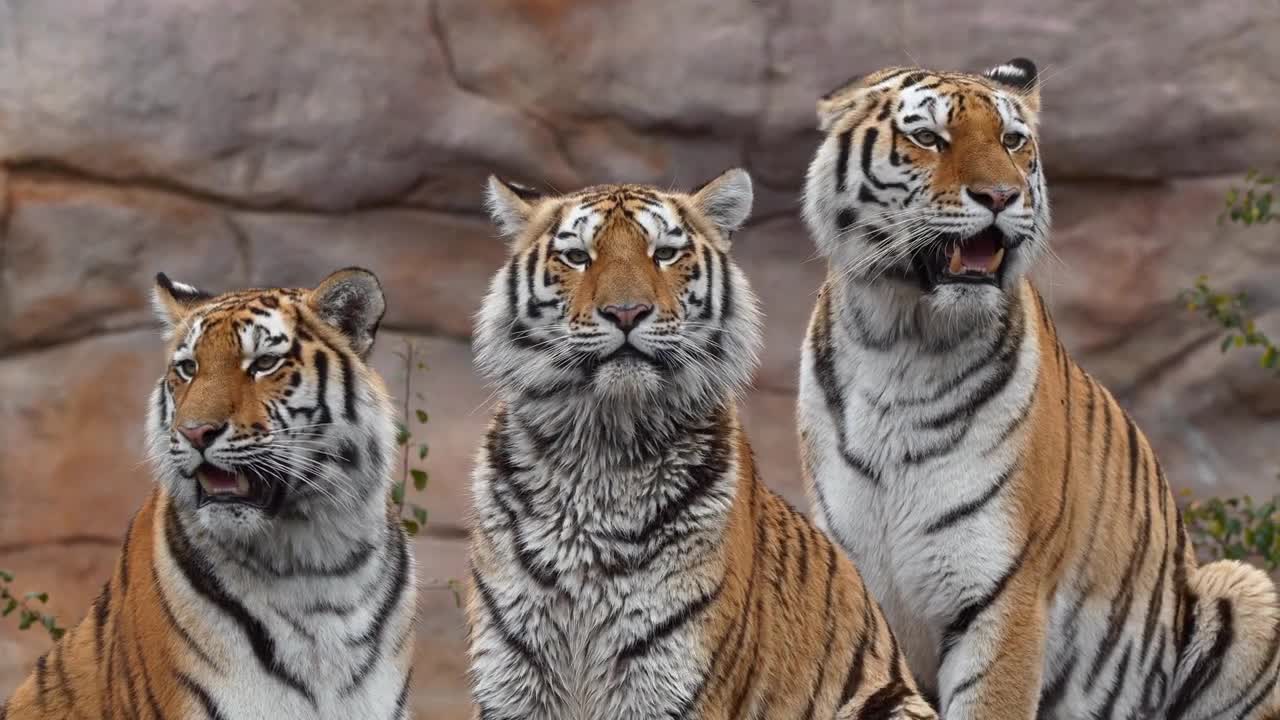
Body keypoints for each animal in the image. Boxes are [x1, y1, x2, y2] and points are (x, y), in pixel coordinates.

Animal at [465, 169, 936, 717]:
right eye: (578, 256)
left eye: (665, 253)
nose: (626, 312)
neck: (603, 447)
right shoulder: (513, 676)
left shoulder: (668, 678)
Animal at [793, 57, 1280, 717]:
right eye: (928, 138)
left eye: (1012, 141)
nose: (1001, 197)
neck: (901, 343)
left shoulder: (1004, 591)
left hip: (1246, 590)